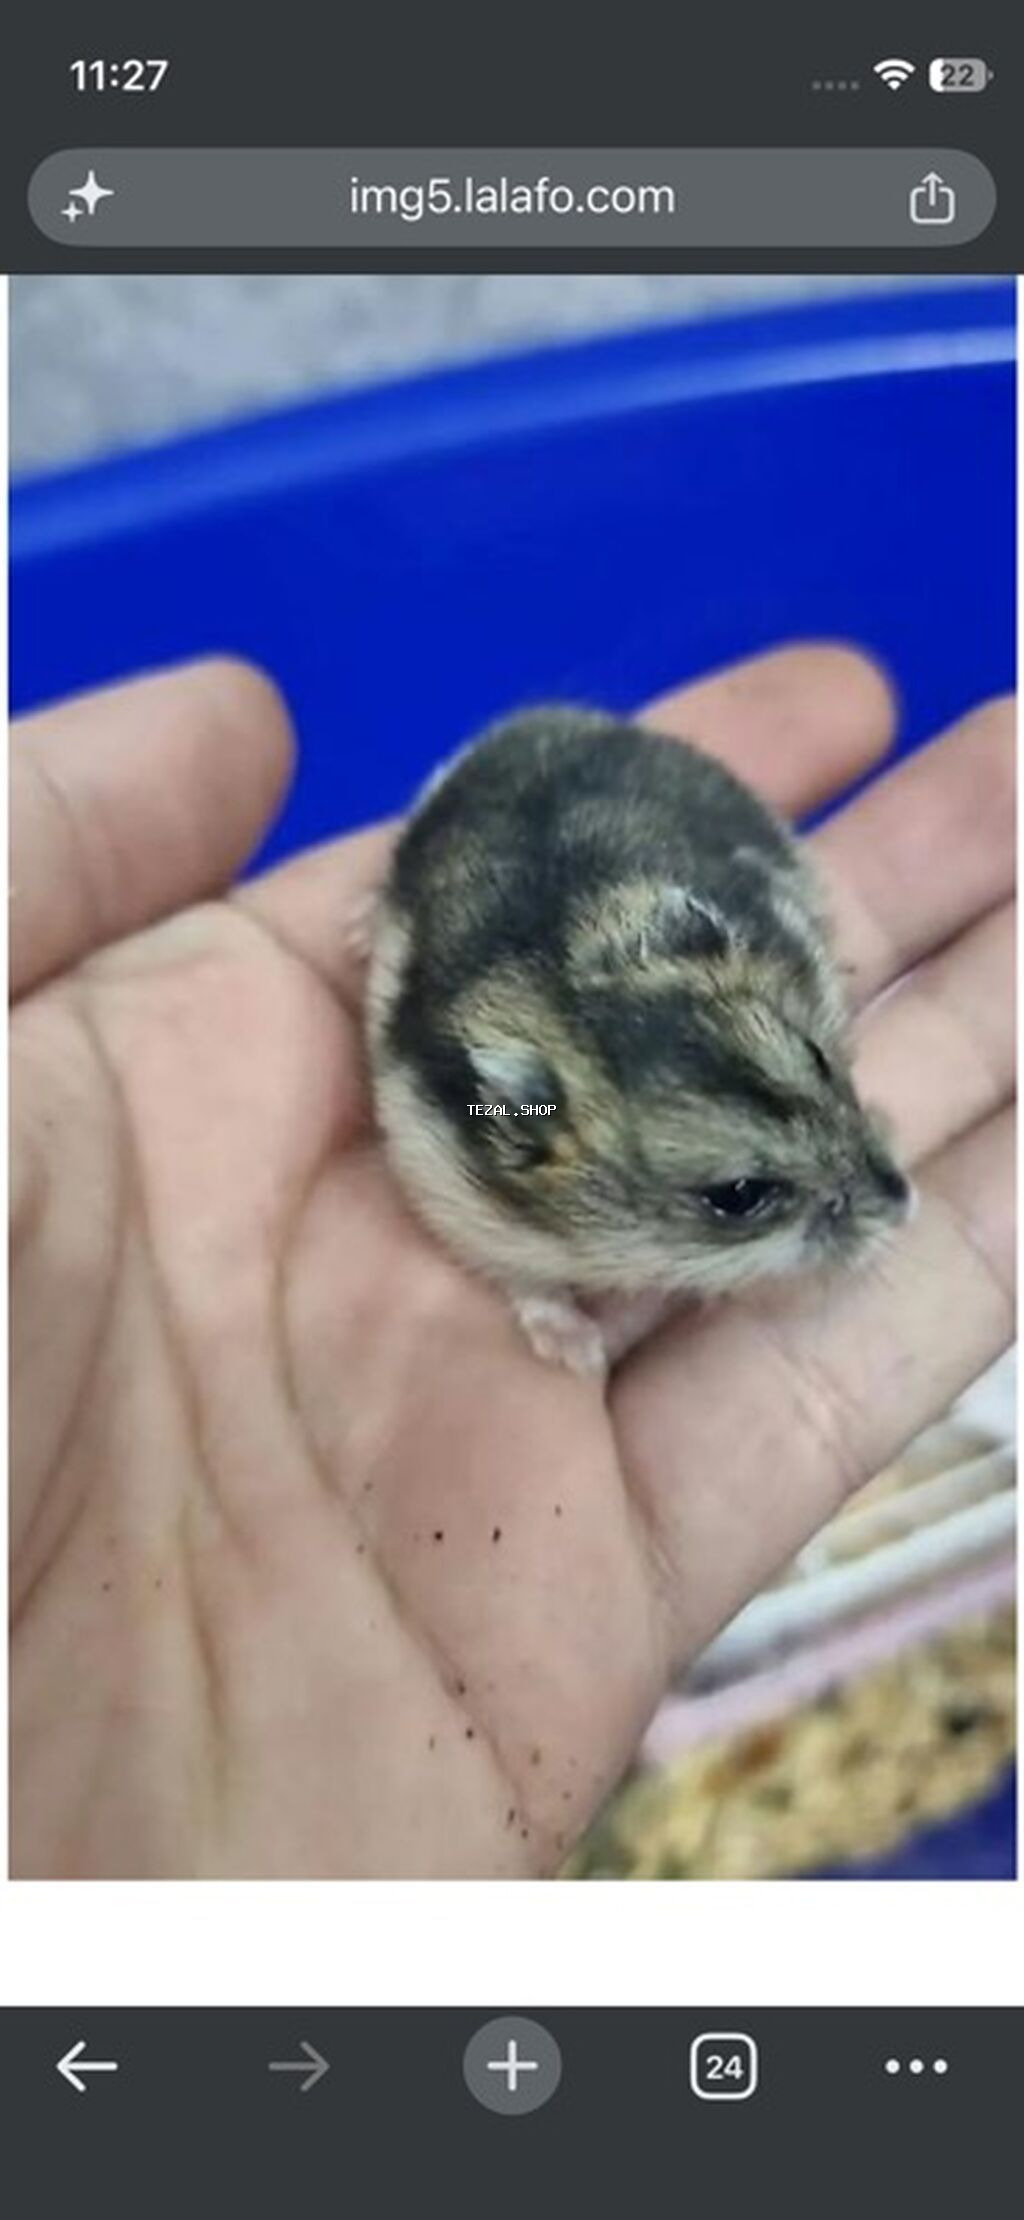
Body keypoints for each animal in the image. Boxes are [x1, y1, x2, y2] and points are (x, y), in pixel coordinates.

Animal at [364, 706, 912, 1376]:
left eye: (816, 1056)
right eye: (738, 1196)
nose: (905, 1200)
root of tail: (547, 717)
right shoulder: (464, 1205)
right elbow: (529, 1284)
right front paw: (579, 1354)